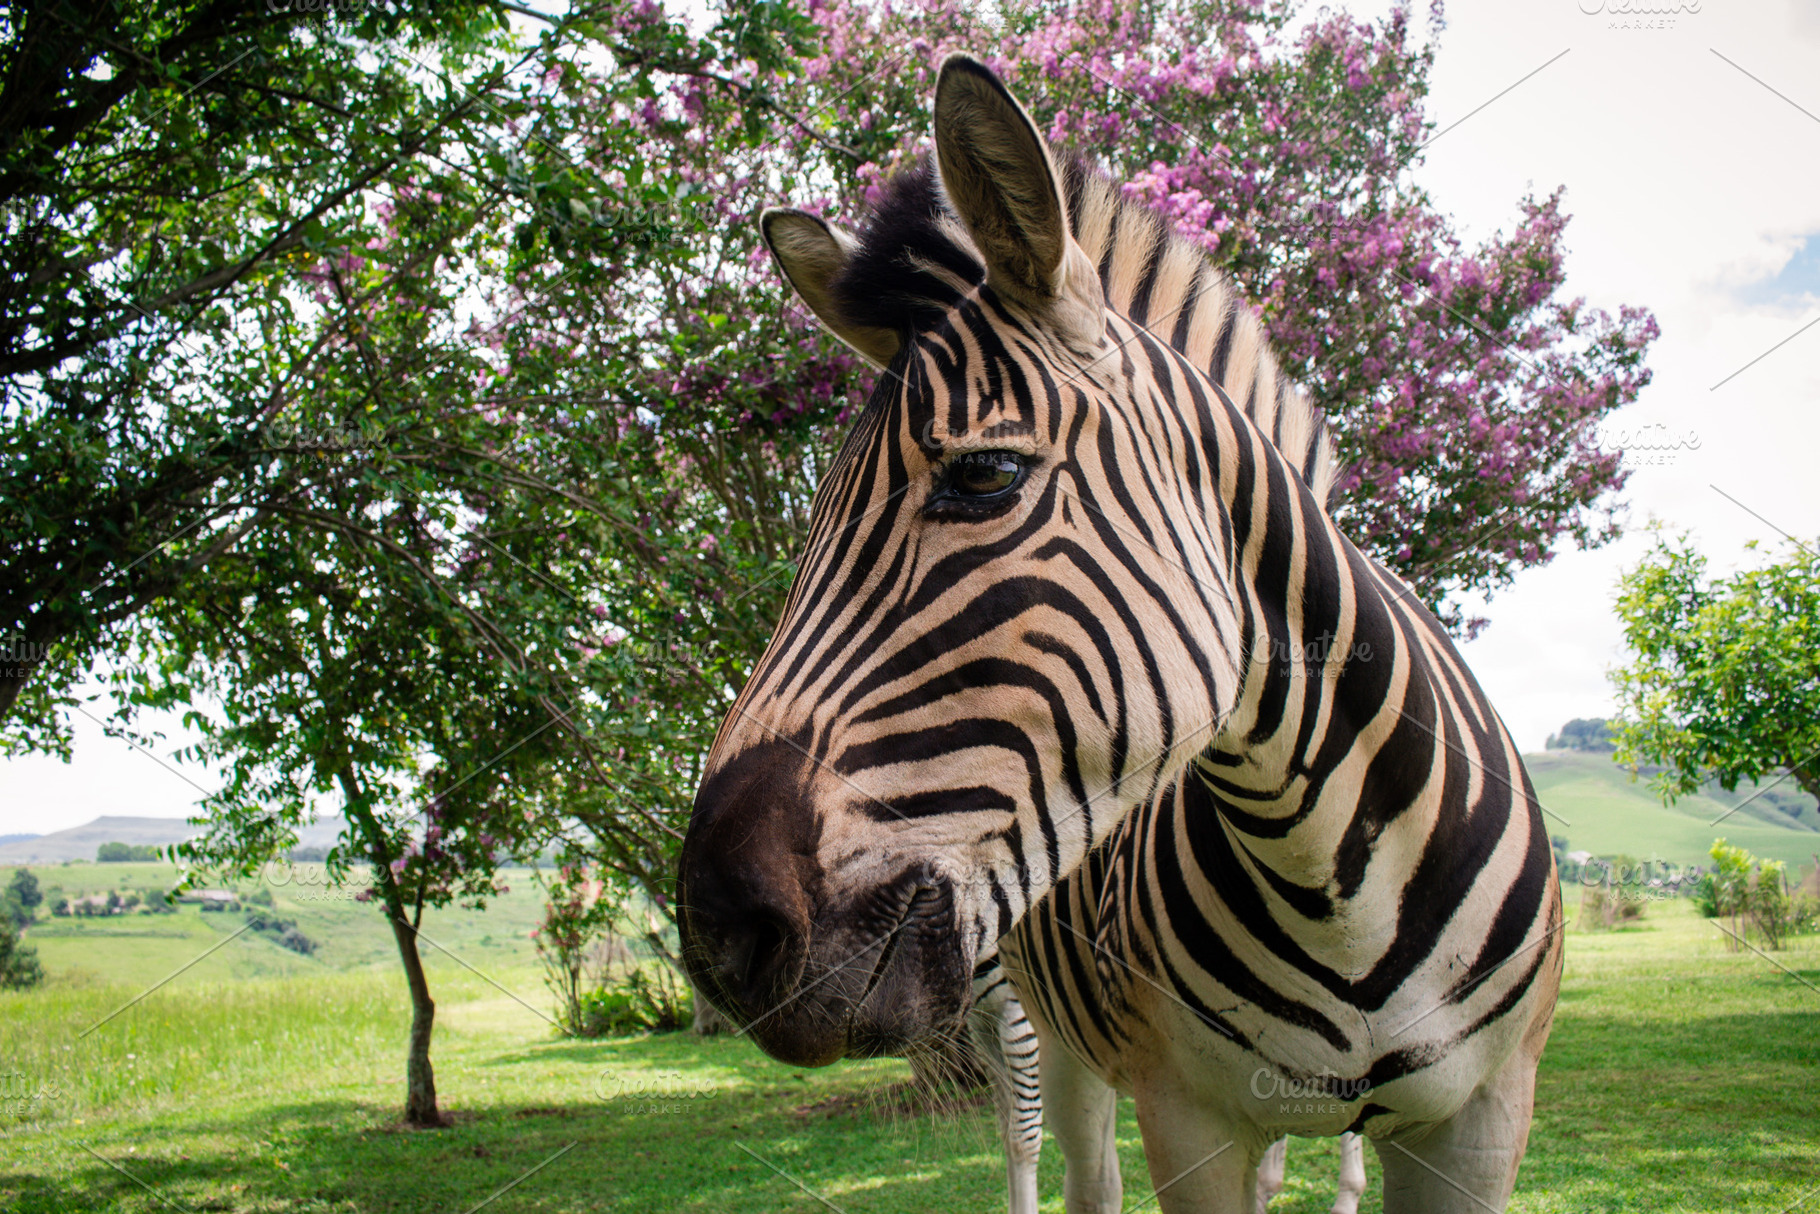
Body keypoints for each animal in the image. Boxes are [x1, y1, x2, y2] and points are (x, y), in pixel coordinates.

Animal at [678, 52, 1563, 1213]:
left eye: (983, 474)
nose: (719, 933)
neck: (1333, 881)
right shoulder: (1187, 1115)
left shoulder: (1480, 1118)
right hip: (1044, 1024)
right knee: (1065, 1161)